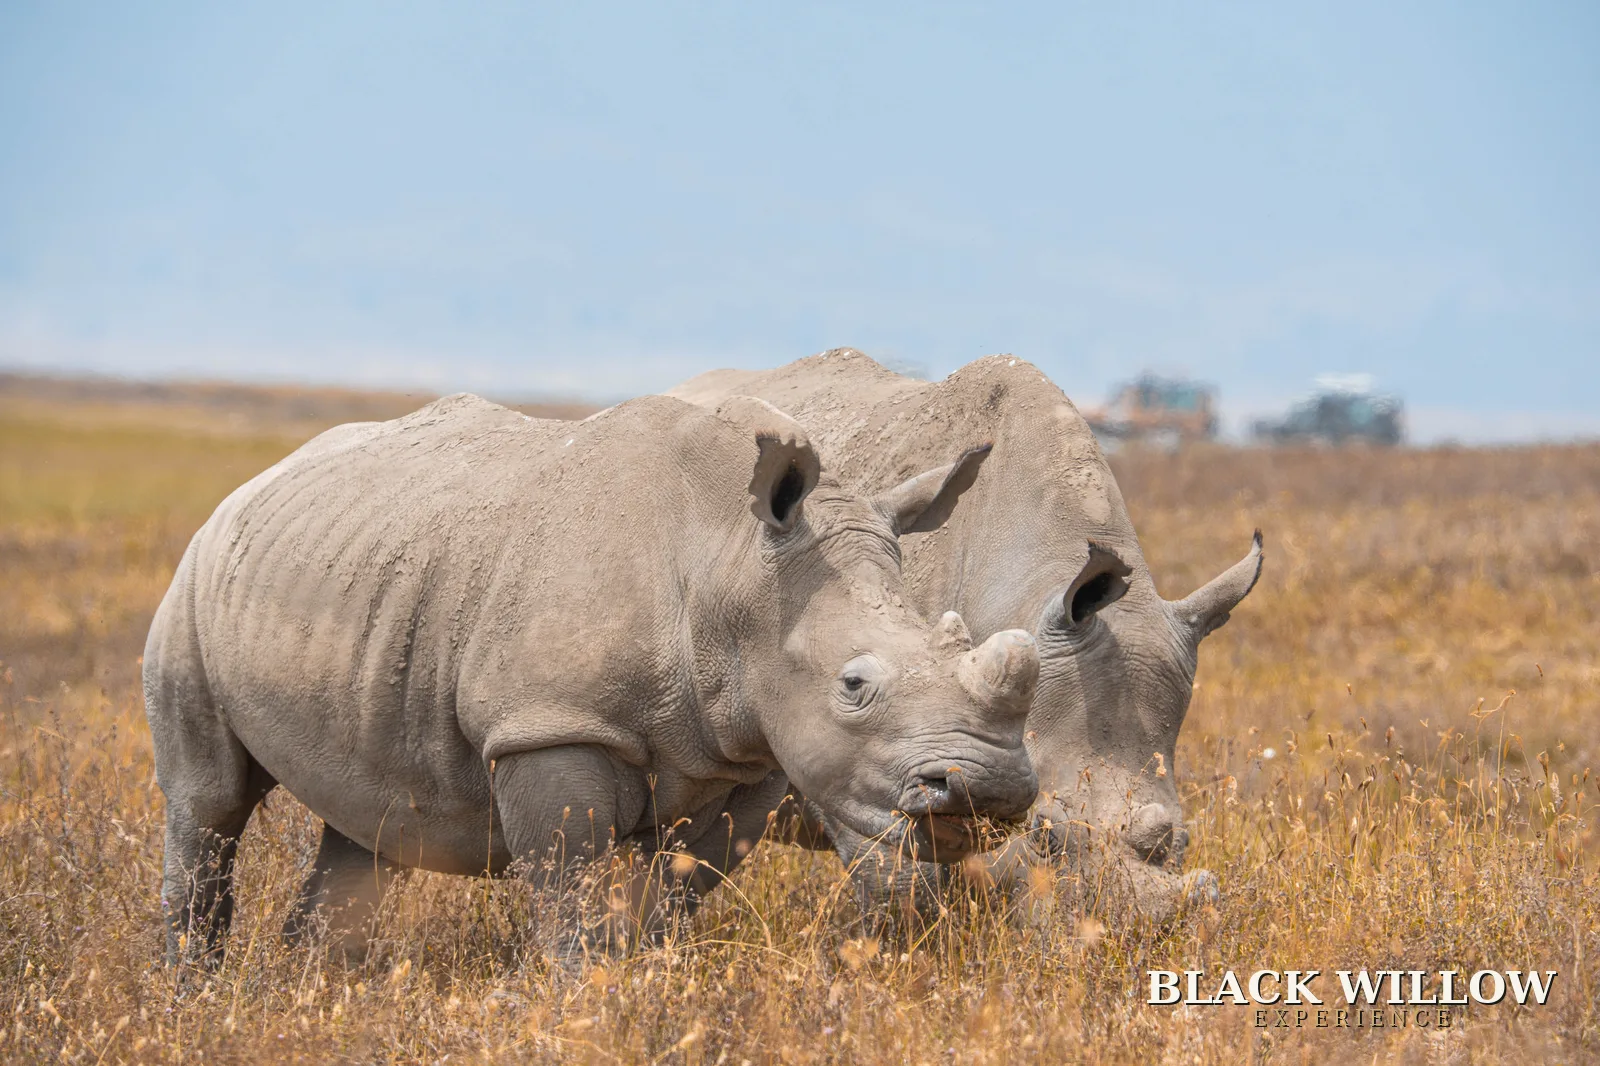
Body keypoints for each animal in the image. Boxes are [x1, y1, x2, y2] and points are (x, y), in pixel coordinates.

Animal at [143, 392, 1041, 965]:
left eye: (957, 639)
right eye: (854, 686)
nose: (989, 790)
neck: (732, 567)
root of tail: (255, 483)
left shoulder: (743, 753)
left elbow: (673, 894)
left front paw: (644, 988)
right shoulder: (549, 723)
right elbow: (569, 885)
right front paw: (581, 1000)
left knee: (367, 825)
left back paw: (318, 991)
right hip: (193, 583)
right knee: (207, 805)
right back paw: (193, 993)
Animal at [669, 351, 1262, 923]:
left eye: (1183, 840)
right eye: (1045, 836)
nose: (1132, 936)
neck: (1028, 588)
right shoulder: (872, 748)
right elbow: (904, 884)